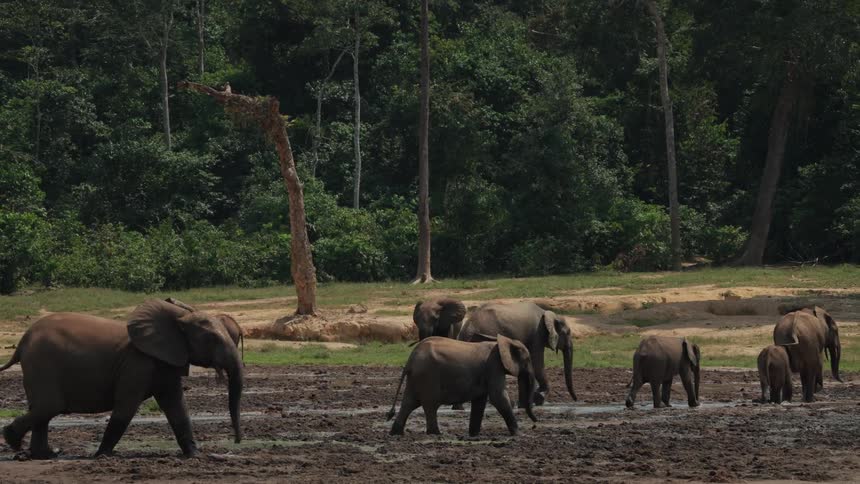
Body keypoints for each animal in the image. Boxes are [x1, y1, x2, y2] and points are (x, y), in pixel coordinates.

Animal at [0, 299, 243, 459]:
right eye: (212, 339)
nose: (237, 441)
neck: (179, 316)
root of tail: (22, 341)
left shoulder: (165, 360)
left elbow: (176, 406)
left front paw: (194, 455)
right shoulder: (137, 364)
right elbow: (126, 406)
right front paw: (101, 456)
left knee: (44, 409)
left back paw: (45, 455)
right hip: (42, 363)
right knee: (50, 406)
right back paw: (13, 441)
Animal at [387, 336, 537, 436]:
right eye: (527, 360)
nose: (535, 424)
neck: (504, 342)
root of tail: (410, 360)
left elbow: (479, 401)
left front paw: (473, 435)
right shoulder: (494, 366)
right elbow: (498, 397)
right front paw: (519, 435)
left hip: (416, 378)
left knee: (409, 403)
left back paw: (396, 433)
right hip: (427, 376)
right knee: (430, 405)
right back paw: (436, 434)